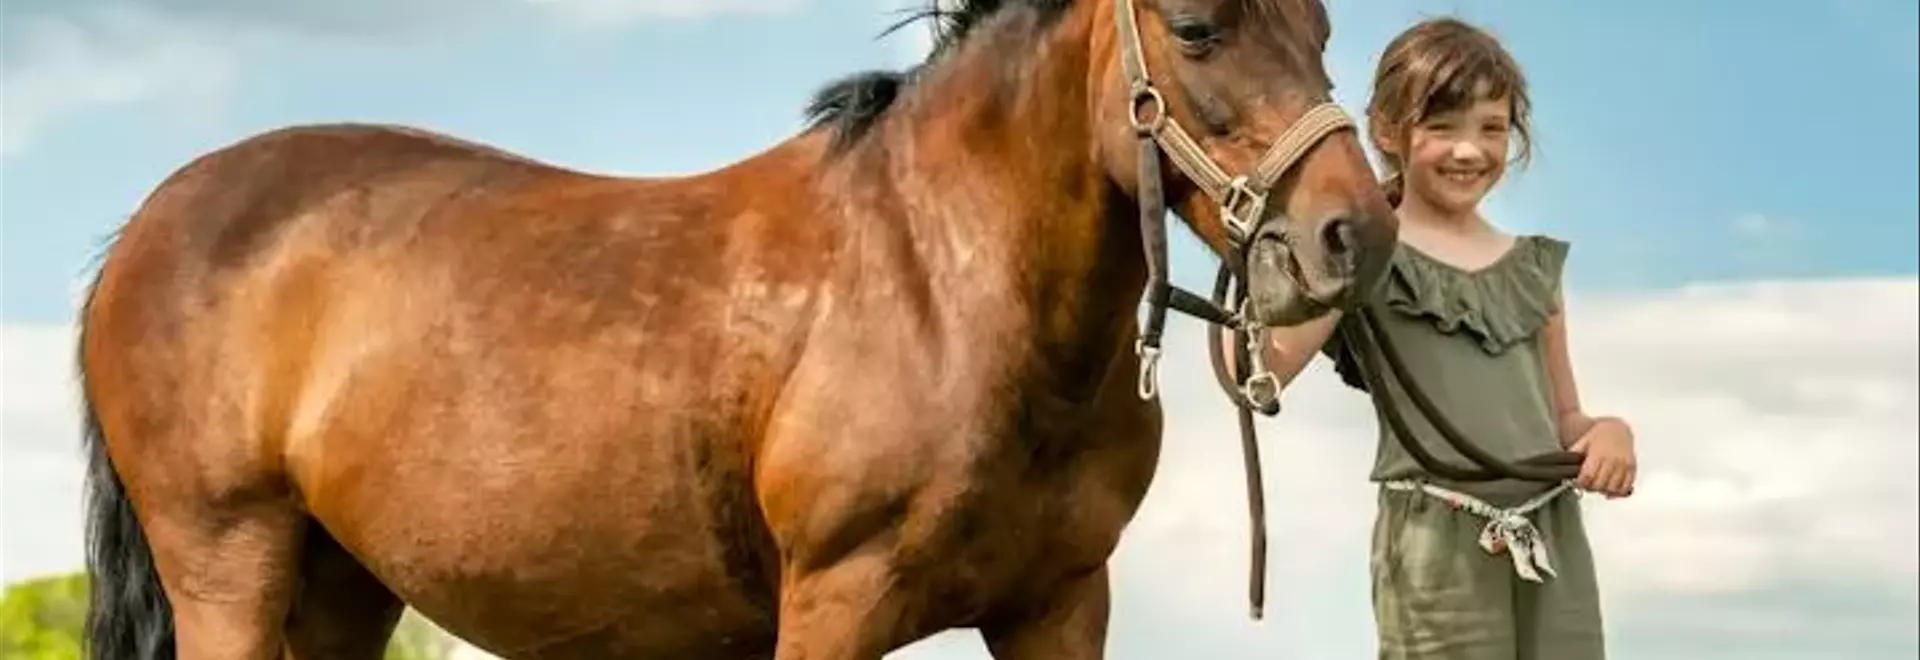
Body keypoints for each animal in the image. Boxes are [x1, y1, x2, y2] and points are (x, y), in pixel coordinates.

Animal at [75, 0, 1400, 657]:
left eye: (1324, 26)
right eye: (1197, 27)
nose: (1356, 232)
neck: (944, 286)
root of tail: (142, 229)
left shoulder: (1060, 607)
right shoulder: (835, 603)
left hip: (341, 587)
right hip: (230, 568)